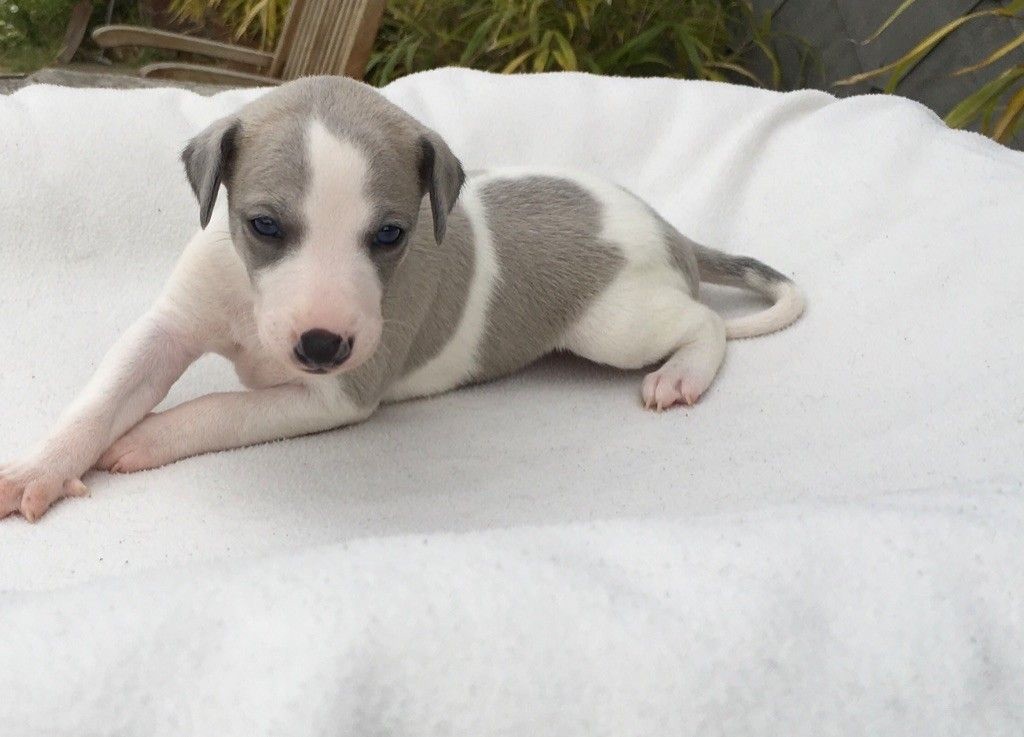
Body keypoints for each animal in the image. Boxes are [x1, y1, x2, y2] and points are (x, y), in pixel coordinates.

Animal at [0, 76, 804, 522]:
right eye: (263, 226)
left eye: (390, 234)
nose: (321, 344)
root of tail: (663, 224)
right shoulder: (171, 324)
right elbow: (104, 395)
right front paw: (42, 467)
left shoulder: (335, 393)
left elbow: (218, 409)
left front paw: (144, 438)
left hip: (616, 324)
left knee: (703, 323)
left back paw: (683, 372)